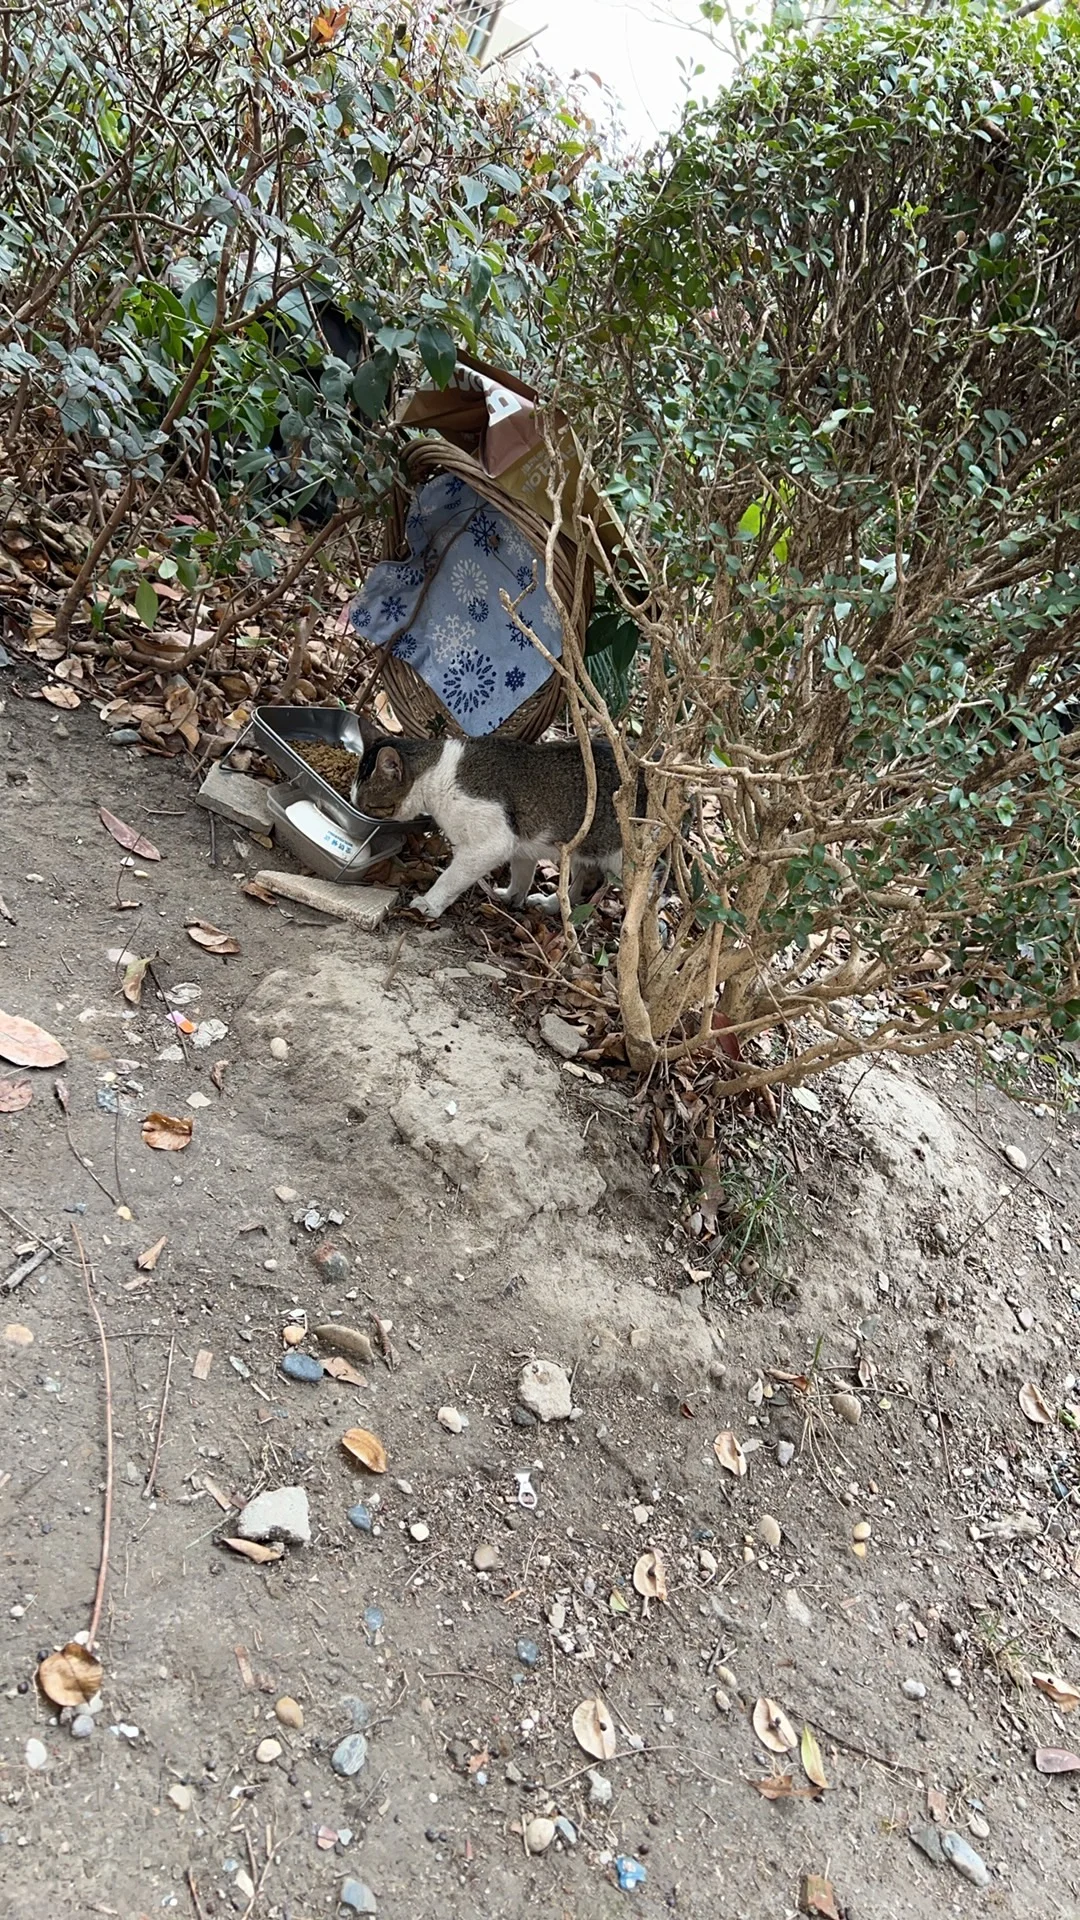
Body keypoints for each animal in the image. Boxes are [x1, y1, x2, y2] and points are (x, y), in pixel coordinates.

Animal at [349, 733, 627, 919]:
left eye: (368, 805)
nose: (357, 813)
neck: (438, 773)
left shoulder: (492, 843)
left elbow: (451, 878)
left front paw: (429, 903)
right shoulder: (522, 846)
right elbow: (522, 875)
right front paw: (511, 897)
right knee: (583, 884)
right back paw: (551, 905)